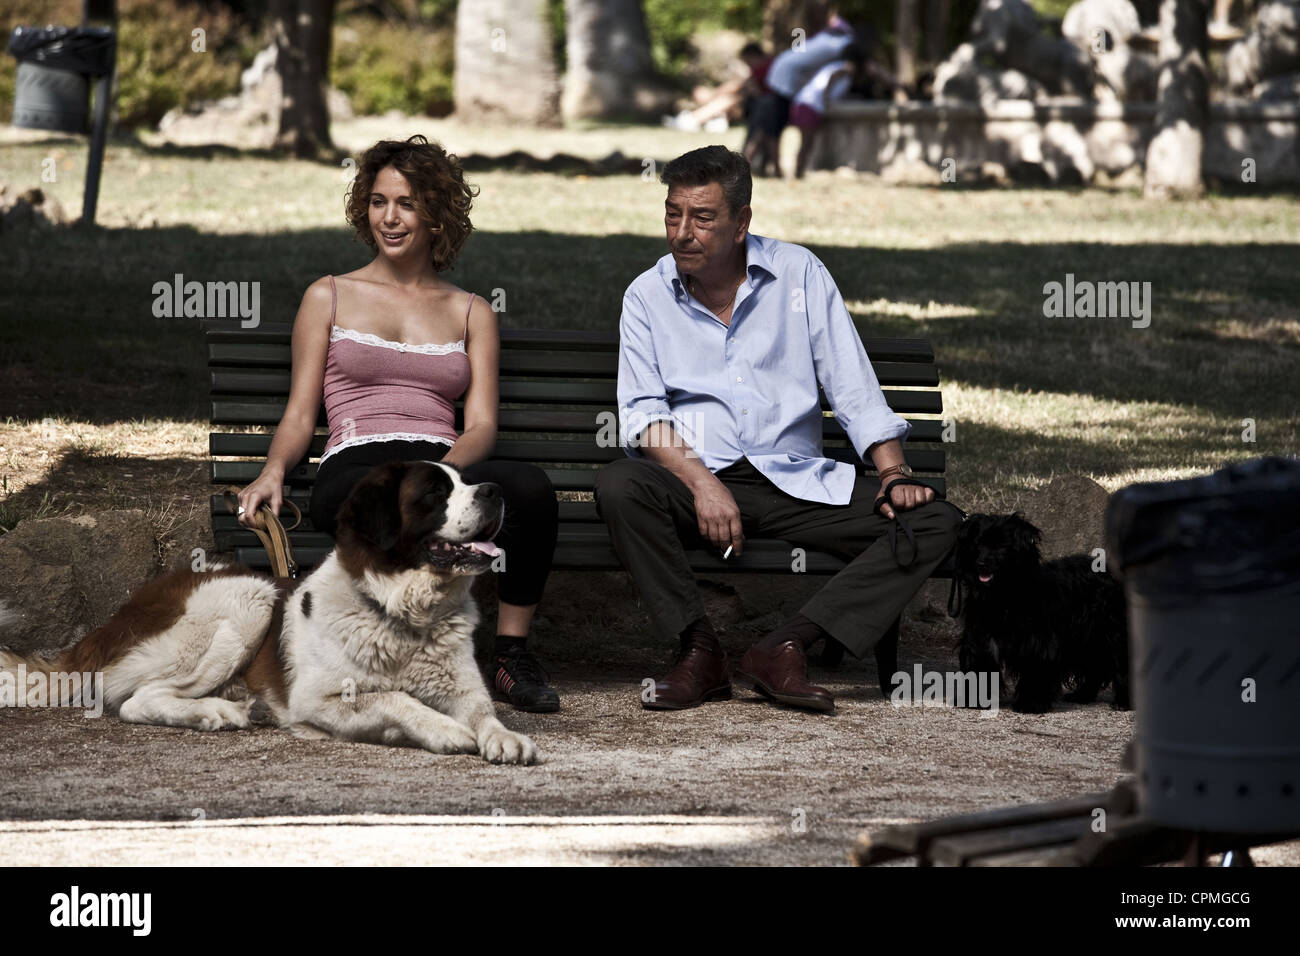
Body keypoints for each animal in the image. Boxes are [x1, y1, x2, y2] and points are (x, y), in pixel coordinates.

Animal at [0, 460, 538, 764]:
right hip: (247, 600)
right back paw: (216, 712)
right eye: (435, 492)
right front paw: (447, 731)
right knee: (136, 700)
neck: (405, 616)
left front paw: (503, 736)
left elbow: (484, 712)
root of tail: (122, 611)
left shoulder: (464, 688)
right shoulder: (318, 699)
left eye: (467, 482)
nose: (494, 490)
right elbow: (396, 699)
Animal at [951, 515, 1133, 712]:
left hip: (1112, 633)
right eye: (977, 543)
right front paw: (975, 700)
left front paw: (1030, 703)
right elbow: (980, 666)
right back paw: (1082, 695)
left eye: (1002, 545)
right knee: (1095, 667)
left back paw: (1124, 702)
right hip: (1087, 640)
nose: (982, 564)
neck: (1002, 594)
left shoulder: (1037, 641)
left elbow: (1035, 669)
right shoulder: (979, 639)